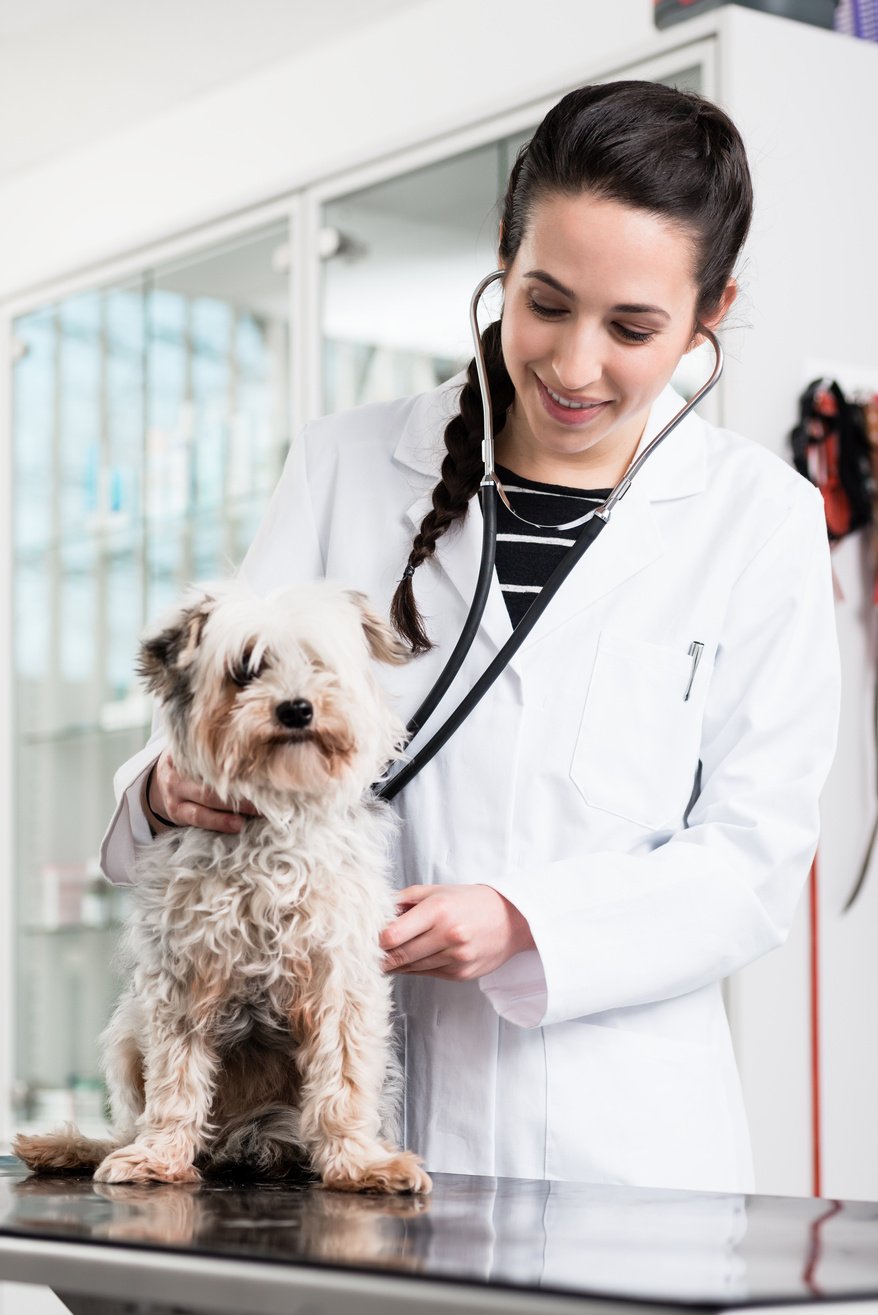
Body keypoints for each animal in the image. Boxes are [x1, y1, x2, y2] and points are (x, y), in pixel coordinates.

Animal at [13, 581, 431, 1199]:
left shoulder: (340, 977)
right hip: (127, 1033)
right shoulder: (181, 978)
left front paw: (360, 1162)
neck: (270, 815)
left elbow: (344, 1079)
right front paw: (158, 1156)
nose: (297, 708)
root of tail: (244, 1134)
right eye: (247, 668)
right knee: (129, 1121)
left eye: (317, 662)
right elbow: (174, 1081)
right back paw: (75, 1147)